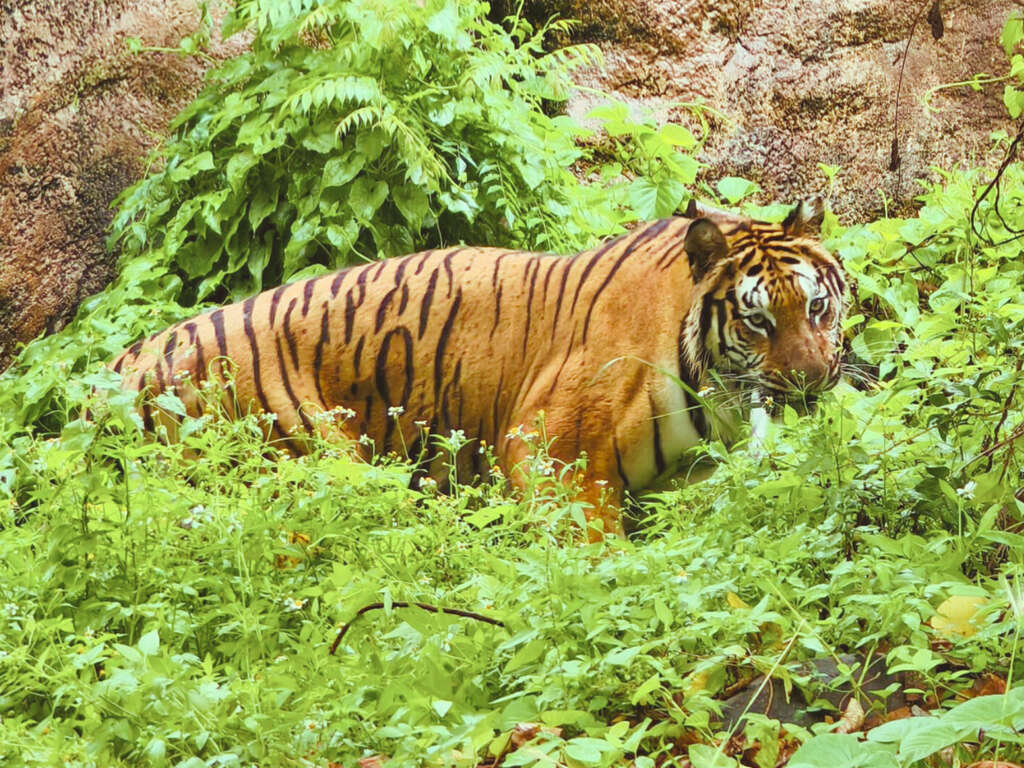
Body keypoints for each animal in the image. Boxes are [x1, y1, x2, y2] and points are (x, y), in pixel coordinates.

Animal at [109, 199, 847, 537]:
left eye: (817, 307)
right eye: (758, 321)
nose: (812, 382)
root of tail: (117, 370)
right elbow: (596, 551)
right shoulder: (550, 451)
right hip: (313, 468)